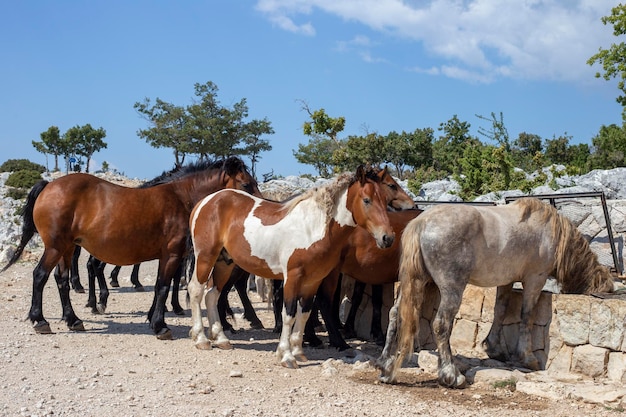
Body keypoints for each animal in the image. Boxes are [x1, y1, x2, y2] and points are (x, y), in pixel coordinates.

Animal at [0, 156, 258, 338]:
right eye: (246, 184)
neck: (181, 197)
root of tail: (48, 186)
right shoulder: (172, 254)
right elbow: (164, 287)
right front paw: (160, 325)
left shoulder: (167, 256)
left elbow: (160, 287)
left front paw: (154, 319)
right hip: (55, 247)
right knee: (40, 276)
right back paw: (40, 320)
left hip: (66, 249)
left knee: (61, 280)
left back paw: (73, 320)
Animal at [372, 198, 612, 386]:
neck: (549, 230)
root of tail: (421, 222)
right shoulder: (535, 279)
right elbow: (527, 316)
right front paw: (527, 357)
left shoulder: (506, 281)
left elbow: (500, 310)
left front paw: (494, 348)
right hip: (451, 288)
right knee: (441, 324)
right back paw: (451, 375)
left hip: (414, 282)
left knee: (395, 314)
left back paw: (386, 366)